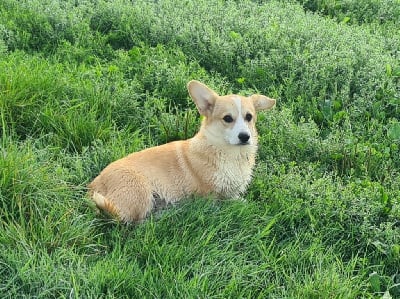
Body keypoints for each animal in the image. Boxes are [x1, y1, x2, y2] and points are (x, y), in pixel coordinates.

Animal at [87, 80, 276, 223]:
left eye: (249, 117)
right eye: (227, 119)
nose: (245, 136)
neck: (229, 154)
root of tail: (92, 186)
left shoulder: (232, 192)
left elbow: (239, 199)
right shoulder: (211, 197)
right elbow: (219, 205)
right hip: (141, 190)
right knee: (131, 221)